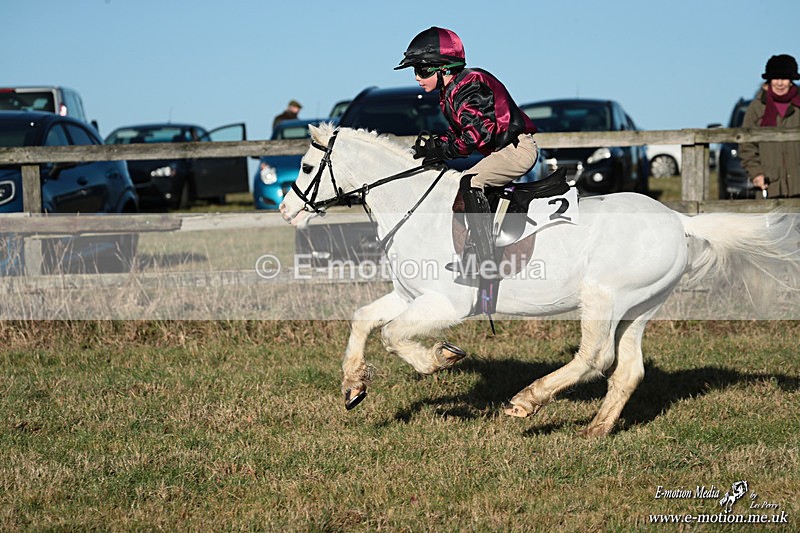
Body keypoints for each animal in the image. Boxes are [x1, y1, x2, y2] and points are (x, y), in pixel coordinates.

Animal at [280, 123, 797, 437]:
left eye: (305, 167)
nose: (287, 211)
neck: (415, 205)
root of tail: (679, 220)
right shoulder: (412, 294)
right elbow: (364, 319)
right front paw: (353, 387)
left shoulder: (447, 303)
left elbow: (393, 336)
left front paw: (441, 358)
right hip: (639, 307)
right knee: (628, 369)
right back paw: (595, 430)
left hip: (603, 297)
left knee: (596, 357)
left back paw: (528, 401)